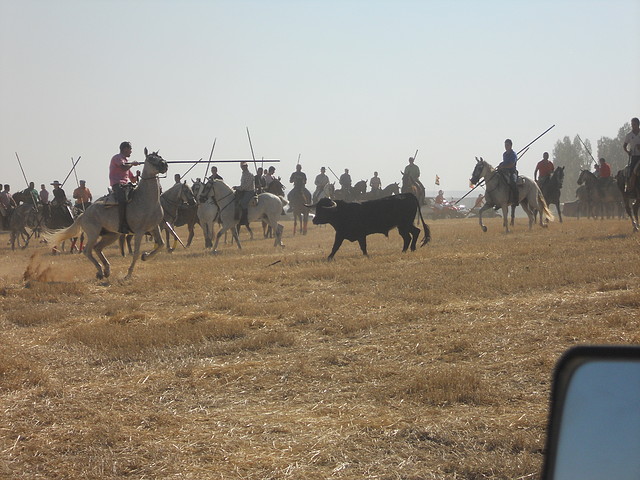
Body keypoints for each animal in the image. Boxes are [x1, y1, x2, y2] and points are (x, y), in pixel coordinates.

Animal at [47, 148, 168, 280]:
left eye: (160, 157)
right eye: (151, 158)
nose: (164, 165)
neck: (145, 199)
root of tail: (83, 214)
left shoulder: (154, 227)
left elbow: (161, 244)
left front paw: (145, 256)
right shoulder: (139, 231)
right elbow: (136, 253)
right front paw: (128, 274)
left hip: (111, 235)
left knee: (97, 248)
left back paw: (106, 270)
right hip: (93, 234)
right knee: (87, 250)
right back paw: (100, 270)